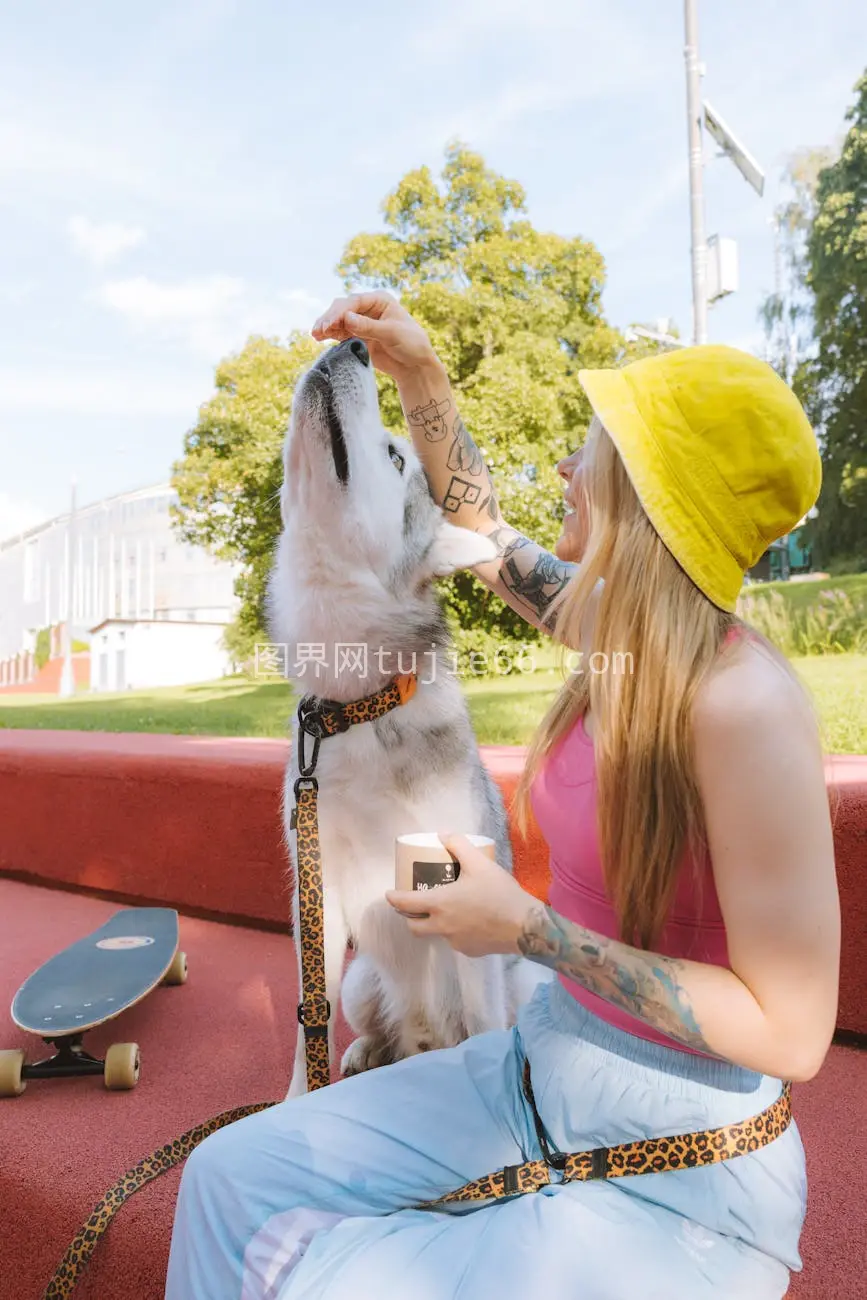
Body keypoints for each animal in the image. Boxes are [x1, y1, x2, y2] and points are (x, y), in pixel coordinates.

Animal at [271, 338, 538, 1097]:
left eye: (395, 457)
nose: (354, 343)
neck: (357, 705)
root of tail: (424, 1038)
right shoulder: (317, 894)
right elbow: (308, 1018)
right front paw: (296, 1100)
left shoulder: (465, 894)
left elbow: (486, 1024)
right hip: (366, 977)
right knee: (371, 1026)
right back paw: (369, 1053)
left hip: (521, 977)